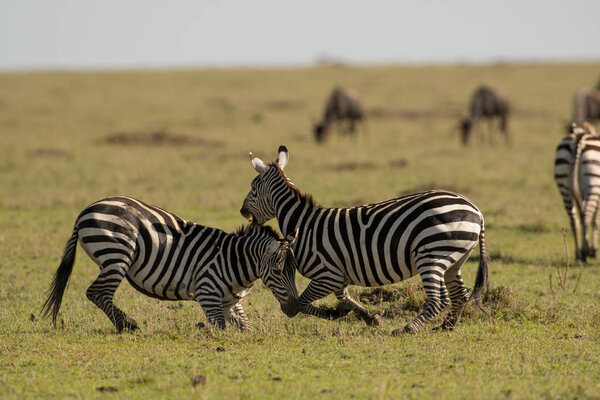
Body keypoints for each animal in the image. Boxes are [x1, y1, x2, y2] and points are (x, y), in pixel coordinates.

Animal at [41, 196, 298, 332]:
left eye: (294, 272)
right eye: (277, 271)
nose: (295, 309)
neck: (234, 260)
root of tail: (85, 210)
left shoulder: (231, 302)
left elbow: (246, 328)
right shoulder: (207, 293)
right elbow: (221, 330)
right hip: (117, 253)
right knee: (97, 292)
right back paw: (127, 325)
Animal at [238, 146, 488, 334]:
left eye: (253, 188)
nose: (242, 211)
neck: (303, 222)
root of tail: (476, 210)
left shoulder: (328, 274)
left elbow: (303, 302)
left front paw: (334, 313)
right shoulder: (339, 276)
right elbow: (346, 297)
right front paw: (369, 318)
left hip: (431, 255)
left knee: (440, 299)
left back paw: (408, 329)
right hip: (454, 259)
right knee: (459, 294)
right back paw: (447, 326)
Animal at [552, 120, 600, 260]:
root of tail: (579, 139)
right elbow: (596, 219)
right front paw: (593, 250)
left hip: (564, 182)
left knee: (574, 217)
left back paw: (578, 253)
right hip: (593, 181)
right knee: (587, 216)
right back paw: (584, 253)